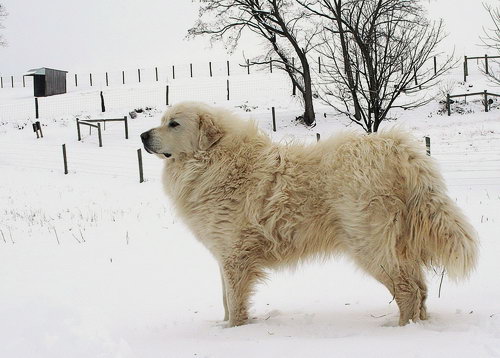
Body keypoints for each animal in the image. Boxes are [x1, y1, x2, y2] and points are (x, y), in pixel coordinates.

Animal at [140, 101, 476, 328]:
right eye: (161, 121)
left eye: (174, 124)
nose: (143, 135)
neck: (213, 159)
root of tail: (393, 146)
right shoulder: (224, 255)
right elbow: (225, 299)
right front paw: (223, 329)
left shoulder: (234, 254)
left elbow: (234, 301)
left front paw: (234, 332)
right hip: (396, 244)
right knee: (420, 288)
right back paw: (419, 325)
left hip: (368, 244)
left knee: (407, 290)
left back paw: (400, 331)